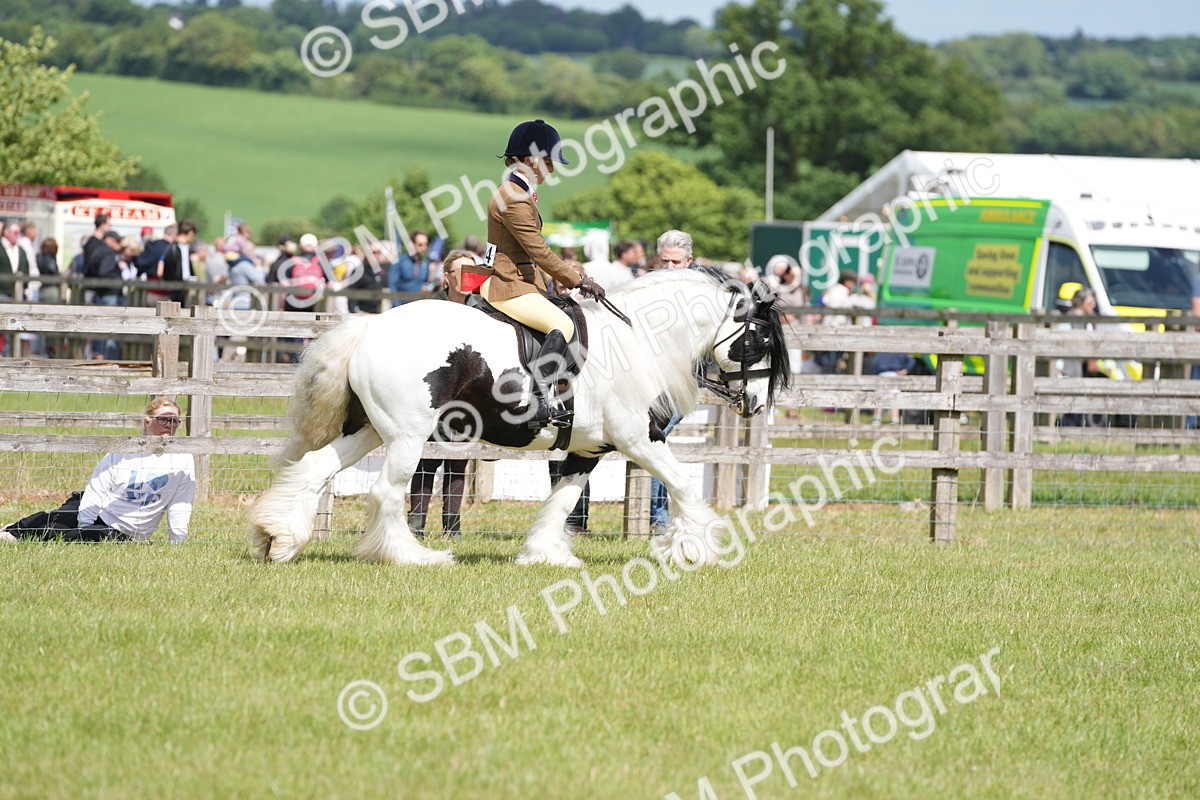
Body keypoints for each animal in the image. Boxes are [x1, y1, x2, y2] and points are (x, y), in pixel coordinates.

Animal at [249, 267, 791, 568]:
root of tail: (371, 327)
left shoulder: (590, 448)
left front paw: (545, 554)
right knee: (386, 492)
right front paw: (695, 549)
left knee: (315, 467)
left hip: (367, 430)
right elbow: (680, 484)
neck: (636, 337)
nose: (757, 404)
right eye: (760, 339)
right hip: (407, 436)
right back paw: (412, 557)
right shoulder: (641, 439)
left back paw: (278, 539)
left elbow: (563, 498)